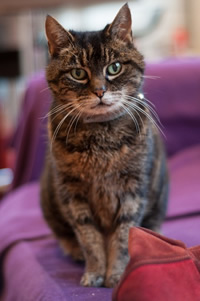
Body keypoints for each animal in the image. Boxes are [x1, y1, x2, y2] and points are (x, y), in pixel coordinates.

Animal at [40, 3, 169, 288]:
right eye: (78, 73)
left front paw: (117, 274)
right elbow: (89, 238)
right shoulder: (73, 193)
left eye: (115, 67)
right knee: (66, 237)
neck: (102, 142)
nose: (100, 91)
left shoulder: (133, 190)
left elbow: (122, 236)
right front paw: (95, 272)